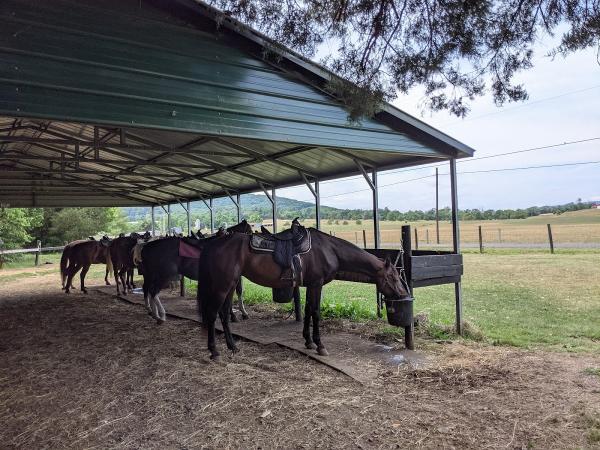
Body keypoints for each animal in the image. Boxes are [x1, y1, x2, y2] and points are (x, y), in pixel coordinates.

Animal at [198, 227, 412, 360]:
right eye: (392, 277)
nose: (403, 295)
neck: (329, 249)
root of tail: (214, 243)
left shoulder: (310, 285)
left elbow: (308, 310)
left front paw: (308, 342)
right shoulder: (316, 284)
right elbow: (315, 312)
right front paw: (320, 345)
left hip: (231, 285)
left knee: (224, 314)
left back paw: (232, 347)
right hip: (223, 285)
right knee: (212, 314)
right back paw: (214, 351)